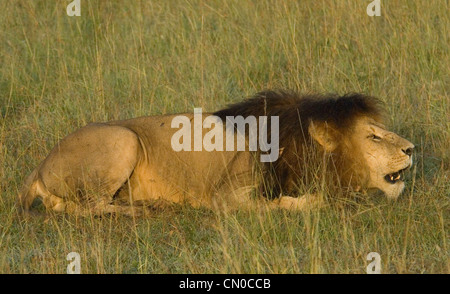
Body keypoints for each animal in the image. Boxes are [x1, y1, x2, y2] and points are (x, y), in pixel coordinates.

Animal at [17, 89, 414, 216]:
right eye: (373, 137)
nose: (411, 148)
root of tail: (40, 165)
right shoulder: (228, 198)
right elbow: (285, 204)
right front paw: (320, 201)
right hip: (123, 139)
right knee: (85, 207)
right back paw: (140, 209)